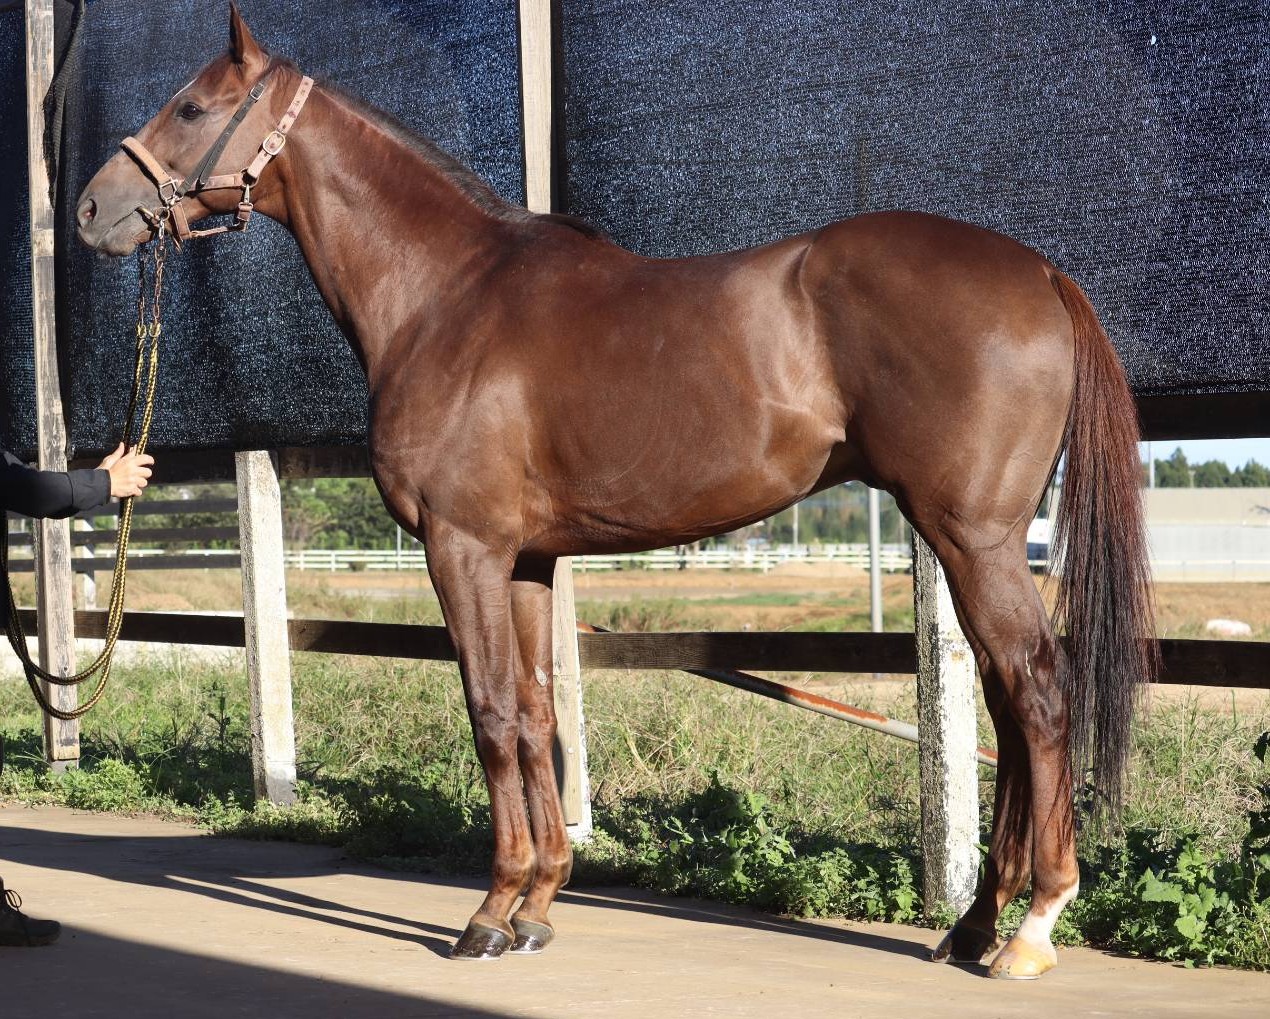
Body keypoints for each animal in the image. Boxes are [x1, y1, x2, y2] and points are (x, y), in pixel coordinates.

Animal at [76, 5, 1155, 977]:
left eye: (191, 106)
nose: (89, 210)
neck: (446, 295)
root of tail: (1040, 272)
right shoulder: (525, 559)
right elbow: (536, 711)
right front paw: (536, 903)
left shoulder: (461, 546)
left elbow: (490, 711)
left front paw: (486, 916)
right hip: (969, 539)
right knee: (1009, 697)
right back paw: (973, 924)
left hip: (972, 536)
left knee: (1037, 689)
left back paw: (1030, 928)